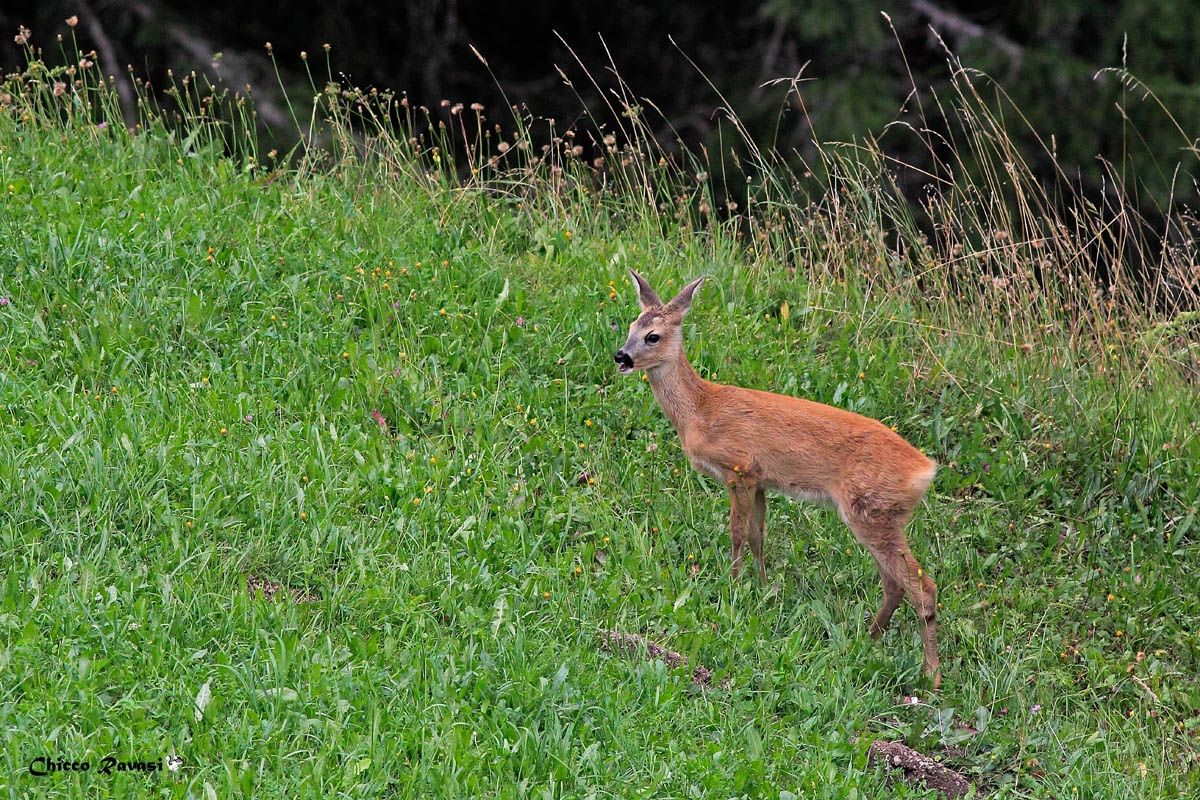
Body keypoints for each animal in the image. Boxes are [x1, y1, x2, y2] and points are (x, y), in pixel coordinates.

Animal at [614, 271, 942, 687]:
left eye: (652, 336)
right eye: (629, 327)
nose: (621, 356)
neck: (700, 411)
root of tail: (925, 470)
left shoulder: (737, 467)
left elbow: (737, 532)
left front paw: (733, 584)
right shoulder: (759, 479)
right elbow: (758, 536)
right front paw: (762, 586)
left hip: (871, 510)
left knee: (921, 586)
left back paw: (931, 675)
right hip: (880, 516)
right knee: (895, 584)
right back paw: (868, 639)